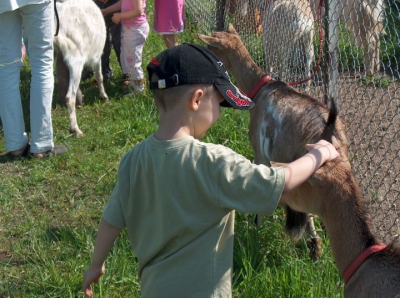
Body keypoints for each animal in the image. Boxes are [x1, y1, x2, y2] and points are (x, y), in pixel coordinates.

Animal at [54, 0, 108, 137]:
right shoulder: (96, 55)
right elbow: (99, 76)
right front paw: (103, 96)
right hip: (75, 59)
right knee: (69, 97)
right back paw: (75, 129)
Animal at [200, 23, 400, 296]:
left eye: (213, 46)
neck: (260, 89)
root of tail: (330, 129)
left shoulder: (262, 154)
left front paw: (257, 230)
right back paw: (315, 251)